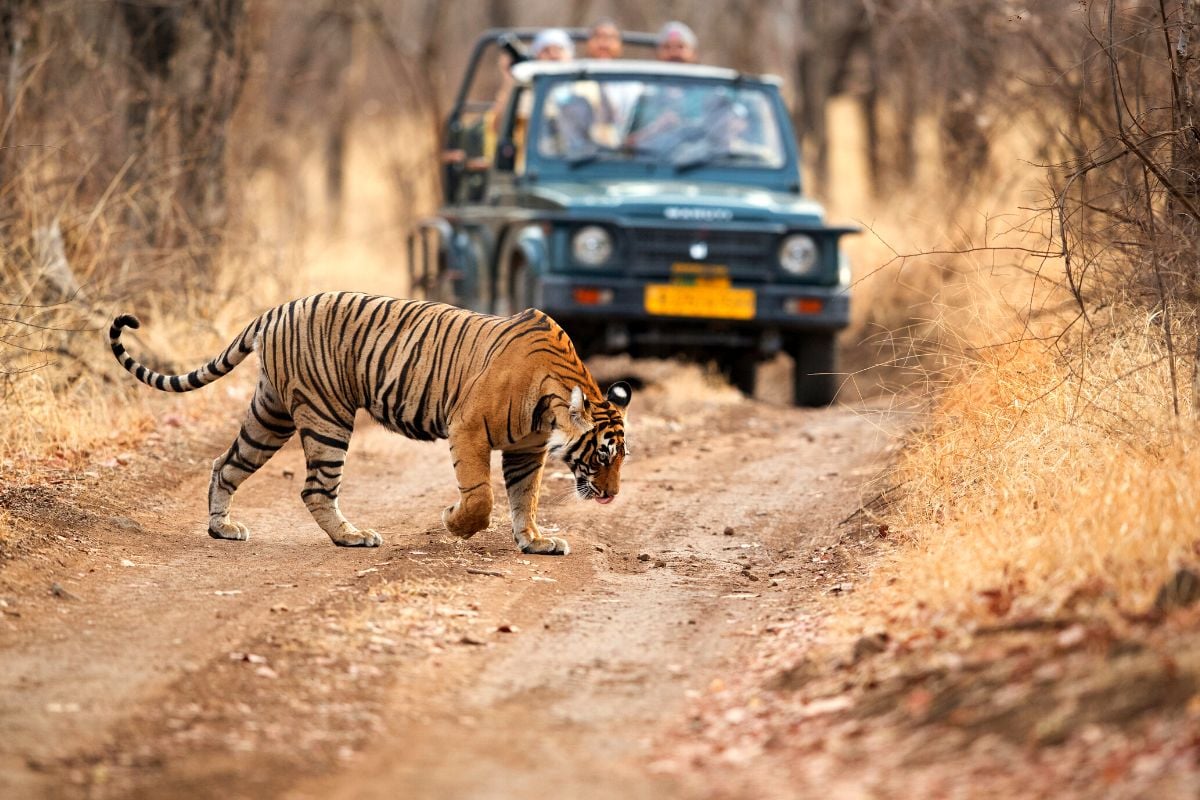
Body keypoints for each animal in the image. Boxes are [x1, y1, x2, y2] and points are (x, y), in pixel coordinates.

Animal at [108, 292, 633, 556]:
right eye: (602, 454)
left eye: (621, 457)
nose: (612, 495)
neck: (551, 400)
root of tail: (276, 310)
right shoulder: (468, 428)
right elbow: (481, 497)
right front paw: (454, 522)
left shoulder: (528, 448)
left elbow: (526, 497)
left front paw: (535, 541)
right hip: (327, 416)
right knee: (315, 488)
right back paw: (352, 537)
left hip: (270, 414)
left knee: (225, 463)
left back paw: (222, 528)